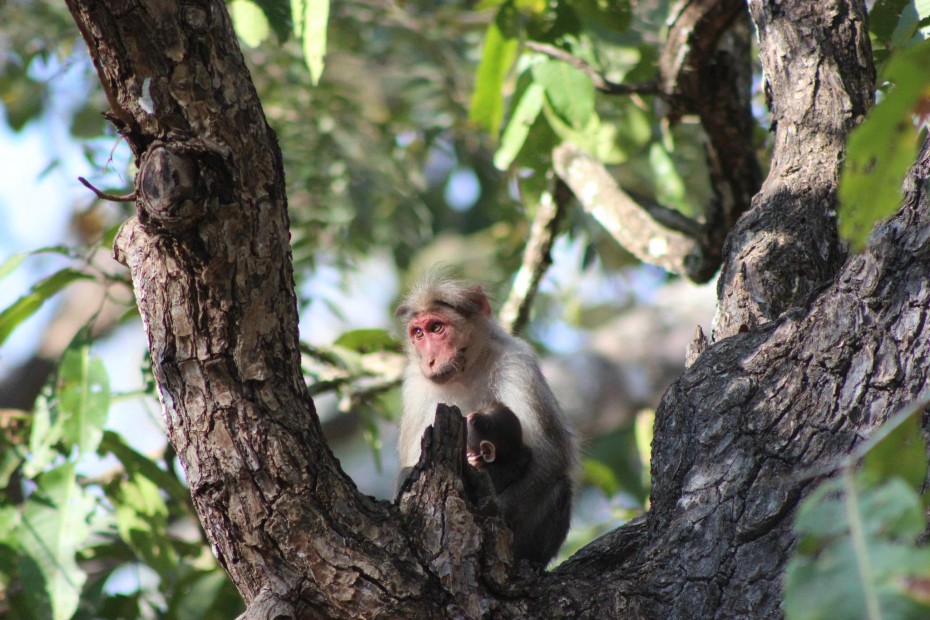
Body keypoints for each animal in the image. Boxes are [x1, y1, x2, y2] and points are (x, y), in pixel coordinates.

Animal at [396, 274, 576, 564]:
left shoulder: (517, 363)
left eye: (437, 327)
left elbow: (550, 456)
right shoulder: (414, 386)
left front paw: (492, 508)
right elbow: (409, 470)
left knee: (560, 484)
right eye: (418, 333)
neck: (466, 373)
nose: (430, 361)